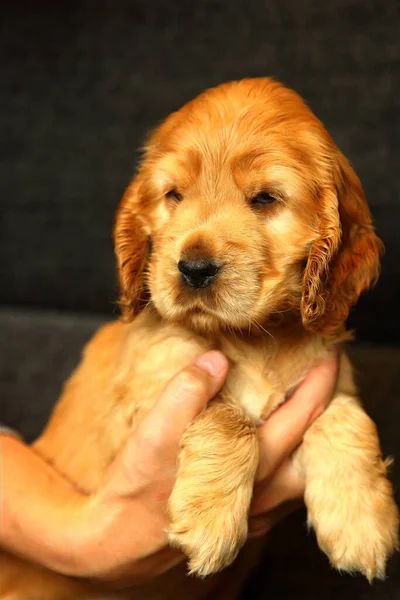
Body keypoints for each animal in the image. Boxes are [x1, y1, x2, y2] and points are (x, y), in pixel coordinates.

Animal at [1, 77, 398, 596]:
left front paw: (363, 523)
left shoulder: (328, 374)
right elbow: (228, 415)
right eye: (174, 195)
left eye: (265, 198)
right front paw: (210, 521)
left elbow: (348, 416)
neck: (255, 339)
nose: (192, 269)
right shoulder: (150, 379)